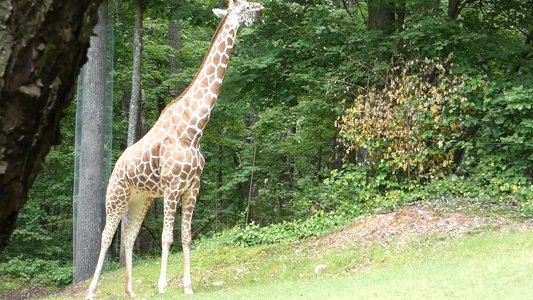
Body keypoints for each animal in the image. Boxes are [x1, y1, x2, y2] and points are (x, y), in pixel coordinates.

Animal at [85, 1, 266, 298]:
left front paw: (188, 286)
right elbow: (167, 237)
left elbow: (186, 236)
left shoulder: (192, 187)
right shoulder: (172, 187)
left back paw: (130, 290)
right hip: (116, 196)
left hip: (141, 199)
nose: (261, 8)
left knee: (129, 236)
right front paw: (162, 285)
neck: (194, 128)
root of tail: (116, 167)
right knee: (106, 236)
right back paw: (91, 290)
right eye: (244, 6)